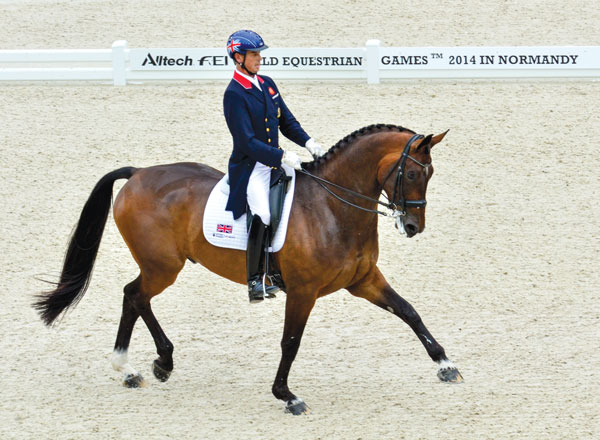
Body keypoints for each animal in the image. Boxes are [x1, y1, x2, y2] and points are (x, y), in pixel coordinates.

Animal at [32, 124, 464, 416]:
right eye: (412, 173)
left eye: (430, 174)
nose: (413, 226)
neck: (332, 207)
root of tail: (138, 173)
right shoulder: (303, 291)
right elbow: (291, 342)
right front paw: (287, 396)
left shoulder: (363, 280)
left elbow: (409, 312)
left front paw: (446, 365)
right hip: (163, 267)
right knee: (136, 296)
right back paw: (148, 364)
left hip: (161, 267)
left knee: (132, 297)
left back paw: (137, 368)